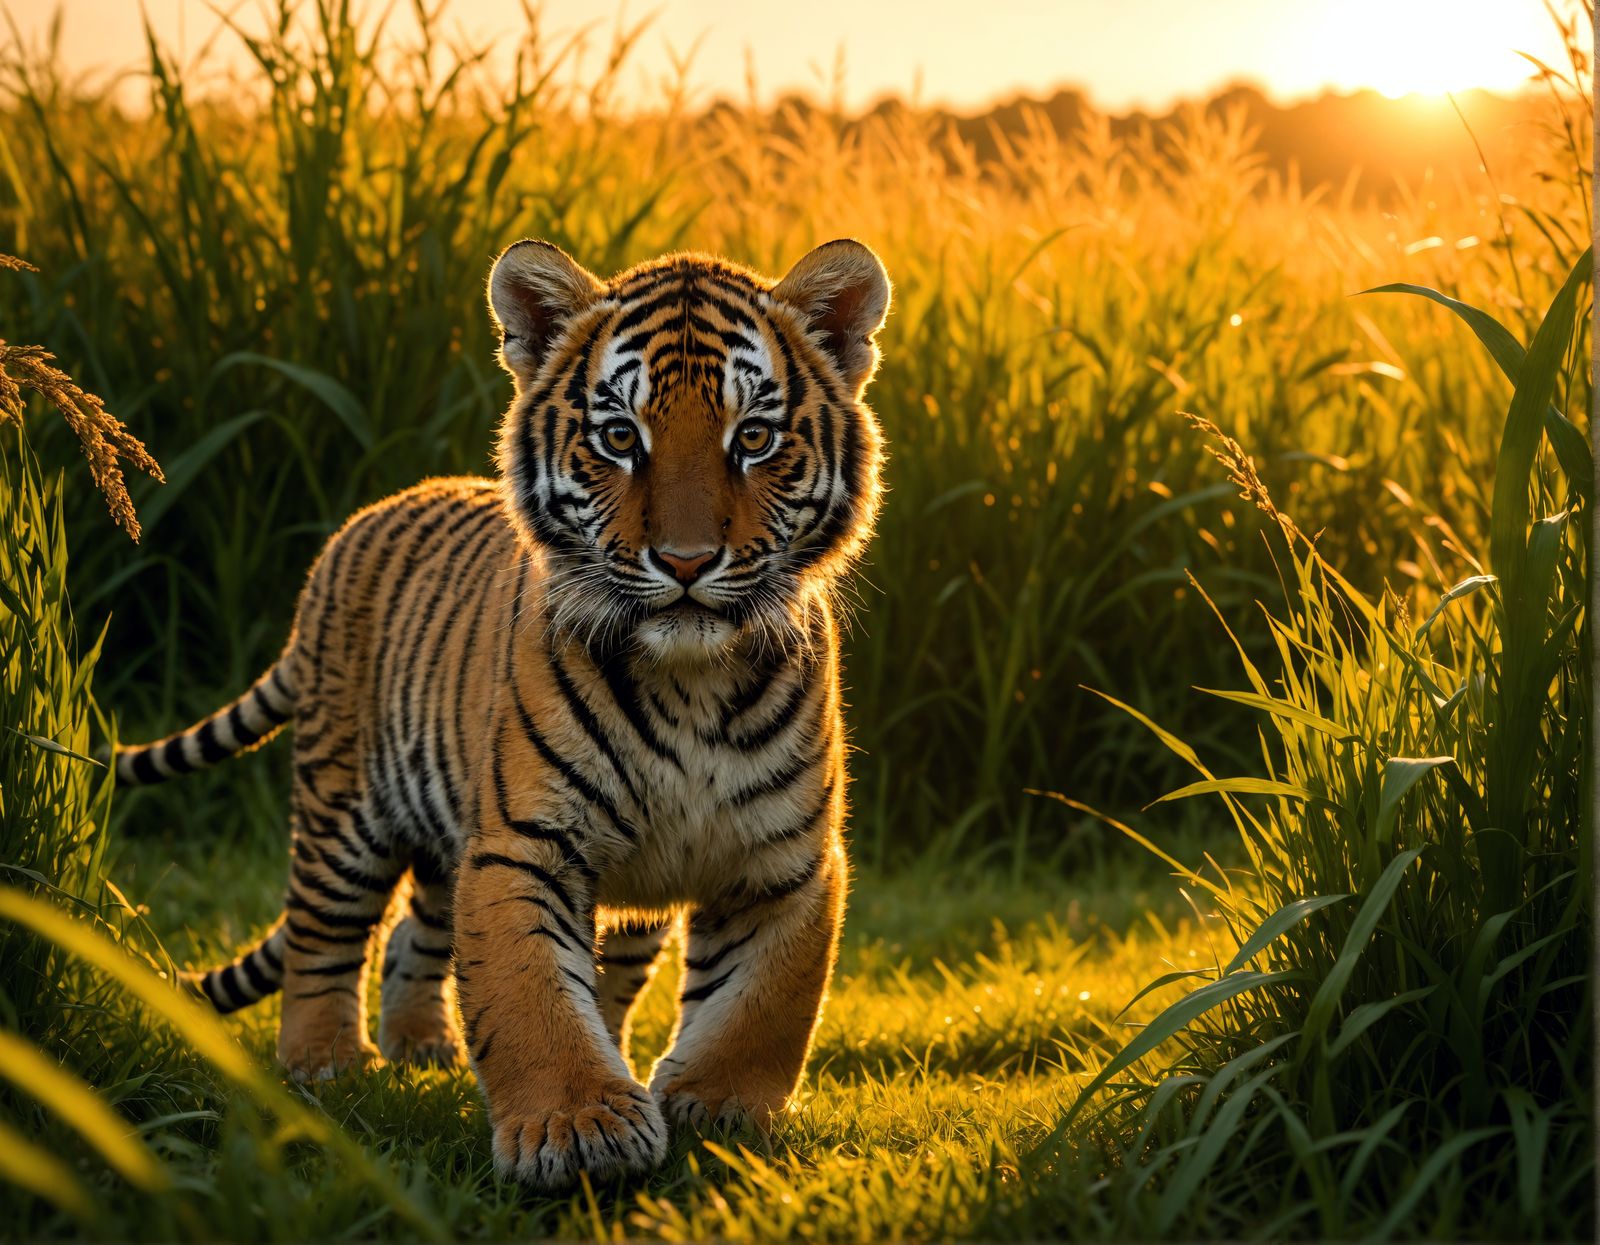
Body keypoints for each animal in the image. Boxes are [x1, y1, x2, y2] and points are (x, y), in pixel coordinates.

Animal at [110, 238, 890, 1189]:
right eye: (620, 437)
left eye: (754, 438)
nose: (685, 561)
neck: (689, 681)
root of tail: (361, 521)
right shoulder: (524, 839)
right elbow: (530, 993)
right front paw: (578, 1130)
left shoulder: (783, 859)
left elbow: (762, 1003)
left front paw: (721, 1110)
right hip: (344, 808)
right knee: (321, 936)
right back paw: (325, 1063)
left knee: (418, 937)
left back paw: (423, 1049)